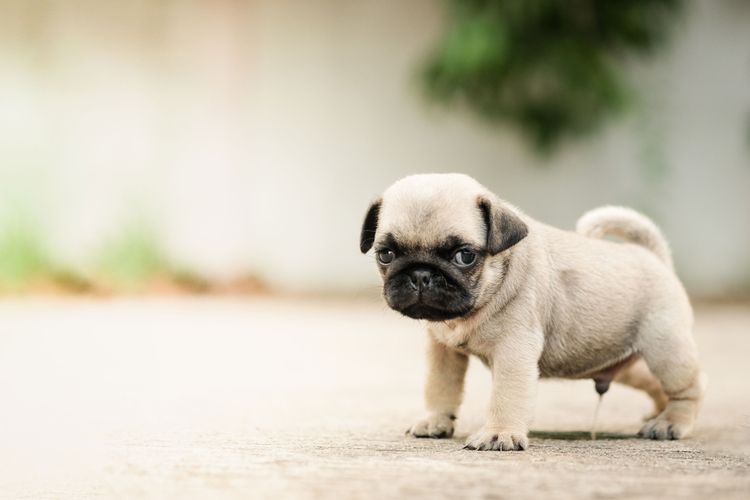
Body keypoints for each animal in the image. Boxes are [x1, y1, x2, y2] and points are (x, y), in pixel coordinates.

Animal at [362, 174, 708, 452]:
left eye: (464, 256)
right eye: (386, 254)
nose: (420, 274)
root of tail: (654, 257)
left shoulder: (513, 350)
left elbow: (505, 396)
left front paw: (499, 434)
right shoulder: (443, 351)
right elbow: (440, 386)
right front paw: (436, 421)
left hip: (665, 349)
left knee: (688, 388)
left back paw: (671, 422)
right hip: (623, 360)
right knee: (654, 382)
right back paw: (658, 412)